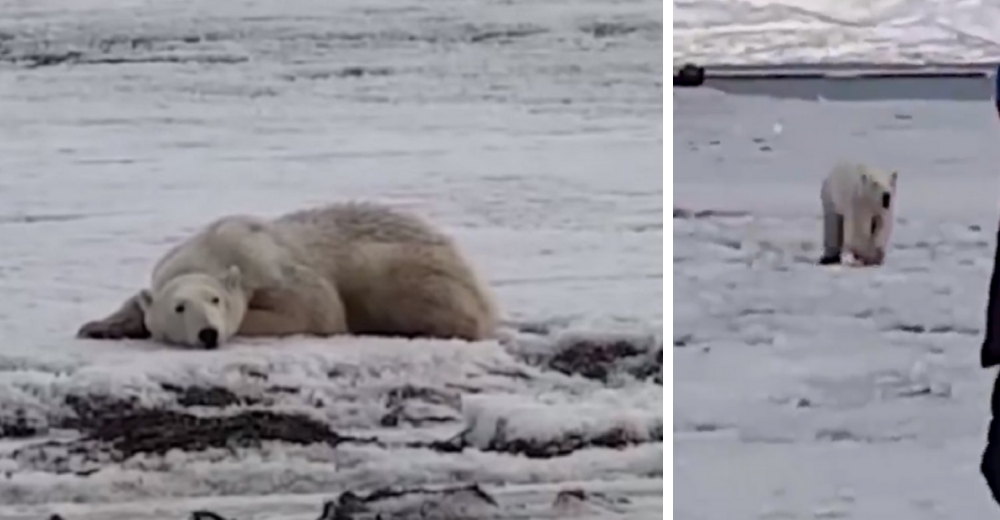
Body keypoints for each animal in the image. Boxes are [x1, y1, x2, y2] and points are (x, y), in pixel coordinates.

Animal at [75, 201, 500, 348]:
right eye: (179, 307)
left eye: (216, 300)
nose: (208, 333)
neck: (212, 250)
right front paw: (98, 326)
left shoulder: (271, 267)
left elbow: (316, 309)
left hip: (405, 268)